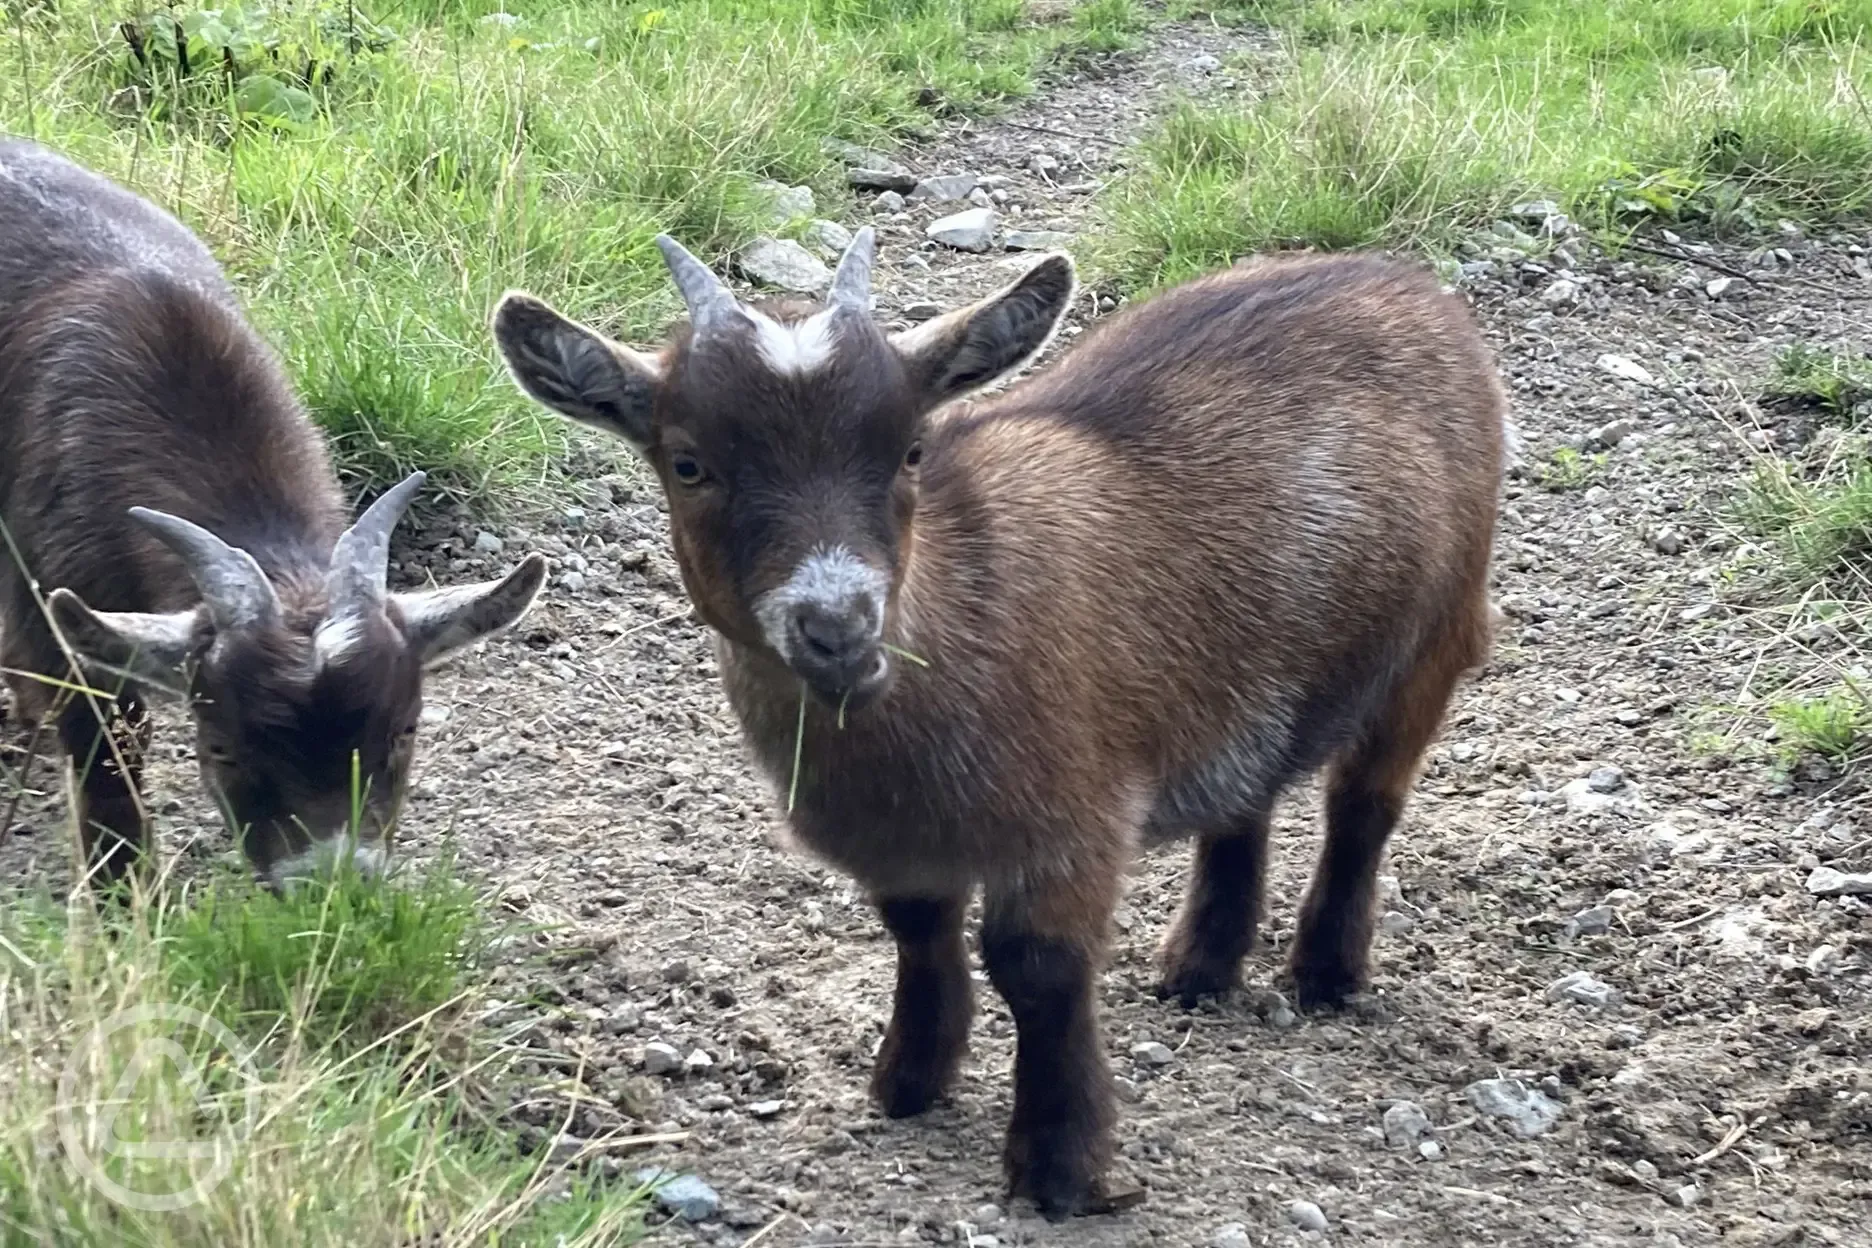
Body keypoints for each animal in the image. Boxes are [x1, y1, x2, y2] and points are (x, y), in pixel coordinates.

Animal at [3, 139, 546, 886]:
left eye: (403, 731)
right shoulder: (58, 613)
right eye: (222, 748)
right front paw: (121, 893)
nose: (332, 881)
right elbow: (106, 764)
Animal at [494, 227, 1505, 1219]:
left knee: (1363, 805)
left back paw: (1327, 974)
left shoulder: (1072, 821)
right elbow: (916, 932)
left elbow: (1037, 967)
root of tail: (1411, 284)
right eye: (689, 463)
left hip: (1438, 633)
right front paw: (909, 1081)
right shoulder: (903, 844)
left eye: (909, 450)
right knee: (1244, 792)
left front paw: (1064, 1168)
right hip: (1247, 670)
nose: (837, 629)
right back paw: (1199, 969)